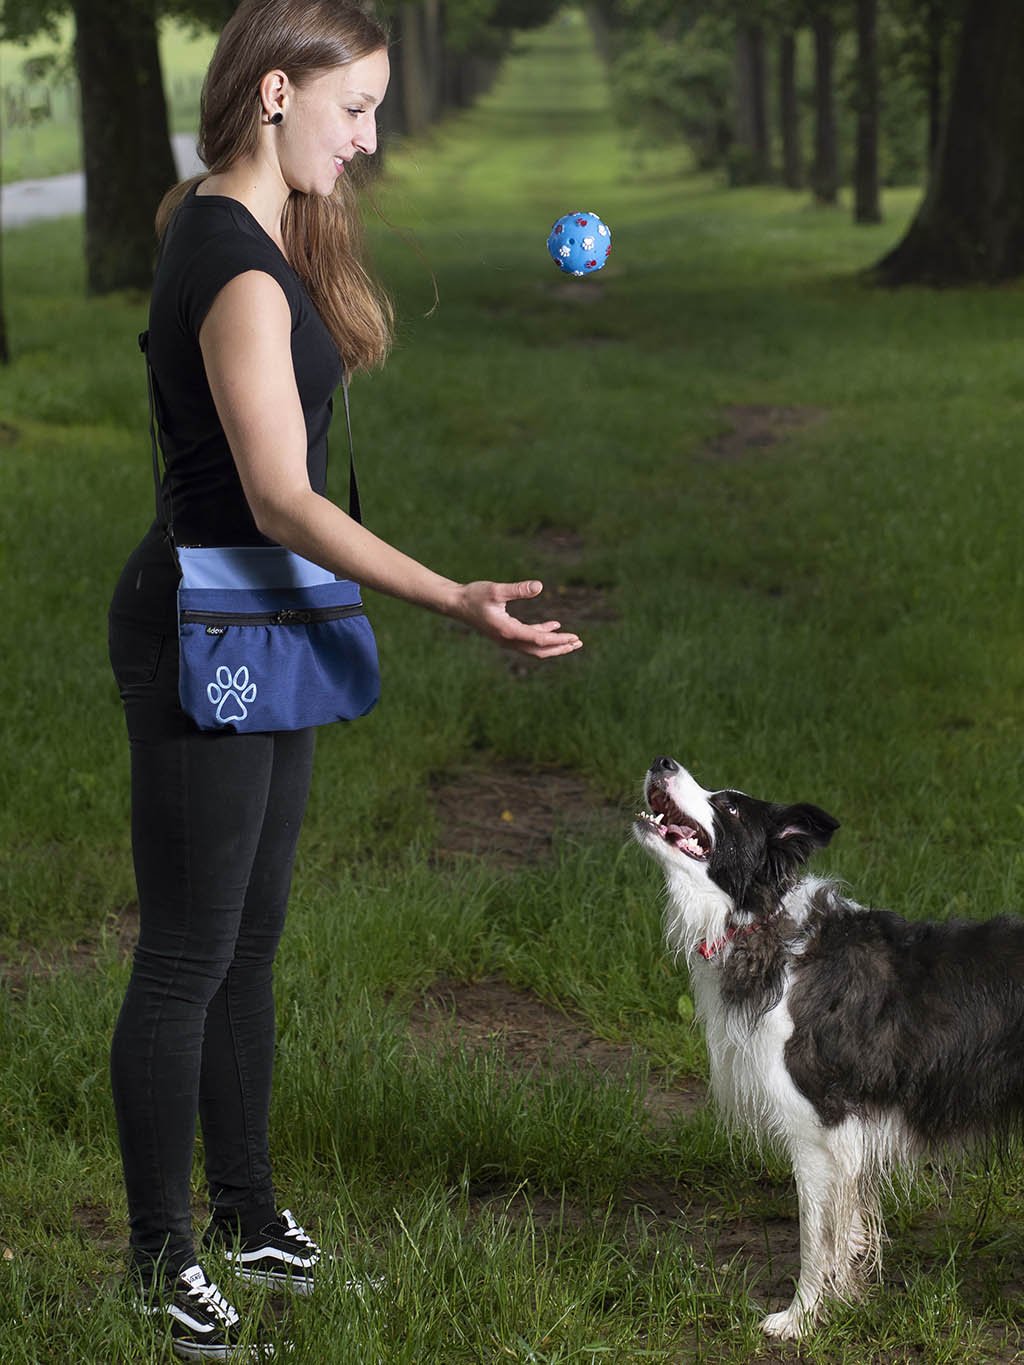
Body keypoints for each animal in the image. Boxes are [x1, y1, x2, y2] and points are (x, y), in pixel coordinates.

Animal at [638, 758, 1024, 1343]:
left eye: (730, 807)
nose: (662, 761)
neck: (762, 923)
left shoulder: (820, 1130)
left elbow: (815, 1241)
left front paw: (799, 1319)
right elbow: (843, 1234)